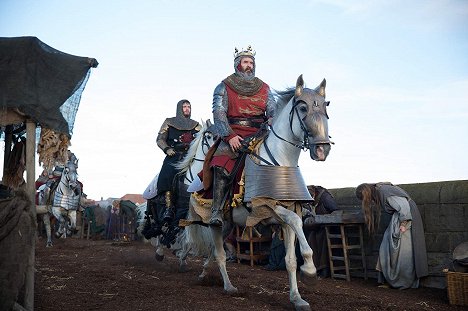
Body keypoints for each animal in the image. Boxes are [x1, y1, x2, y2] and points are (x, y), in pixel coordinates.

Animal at [185, 76, 330, 311]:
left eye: (325, 107)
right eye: (302, 107)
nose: (322, 149)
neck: (280, 158)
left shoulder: (285, 217)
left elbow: (290, 260)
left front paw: (297, 298)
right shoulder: (266, 206)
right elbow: (297, 222)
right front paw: (309, 270)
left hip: (228, 225)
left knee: (214, 251)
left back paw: (205, 273)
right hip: (216, 222)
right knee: (220, 254)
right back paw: (228, 286)